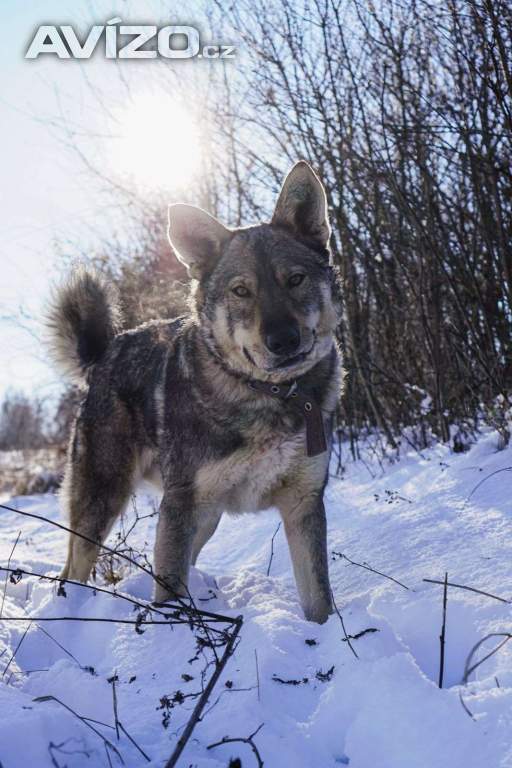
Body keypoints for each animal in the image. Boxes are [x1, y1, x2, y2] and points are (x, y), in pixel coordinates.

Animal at [47, 161, 342, 623]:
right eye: (241, 291)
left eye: (295, 280)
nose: (284, 340)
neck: (266, 396)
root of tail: (106, 352)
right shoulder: (182, 505)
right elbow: (169, 597)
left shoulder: (303, 503)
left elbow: (318, 600)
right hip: (107, 501)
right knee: (72, 571)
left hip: (203, 516)